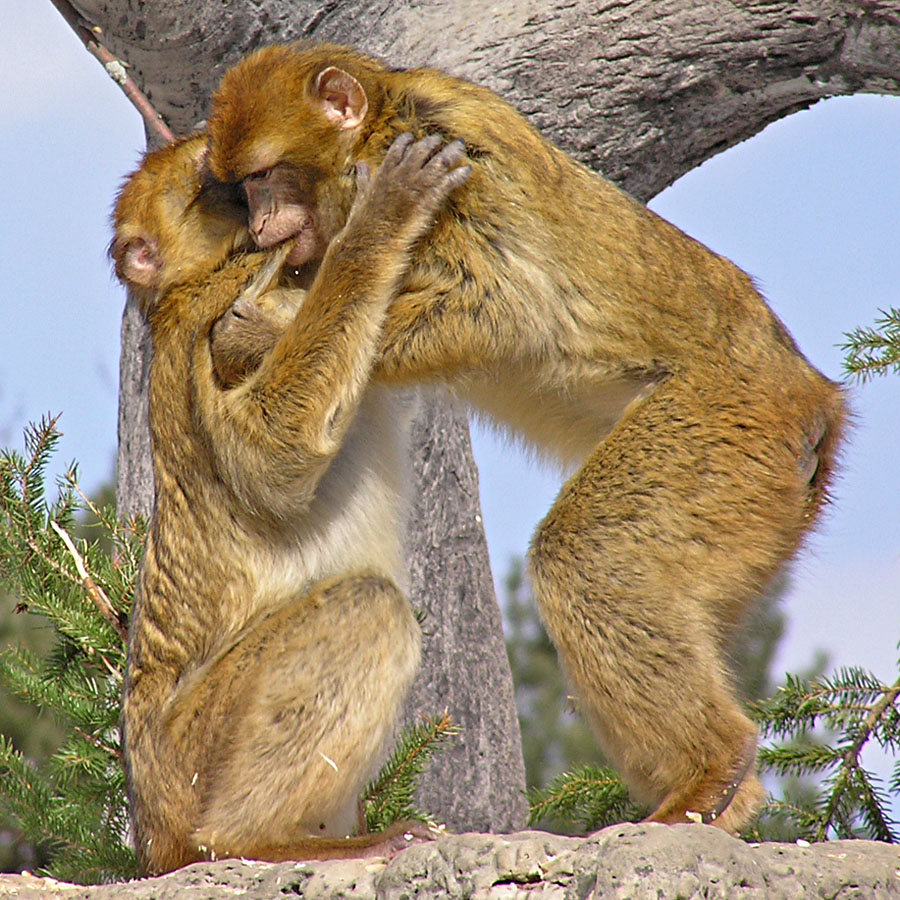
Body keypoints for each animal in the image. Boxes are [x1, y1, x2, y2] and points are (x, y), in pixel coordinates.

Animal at [112, 128, 472, 872]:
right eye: (208, 182)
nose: (255, 203)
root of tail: (154, 834)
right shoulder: (215, 310)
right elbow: (271, 455)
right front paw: (380, 219)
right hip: (193, 752)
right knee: (370, 608)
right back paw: (253, 839)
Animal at [207, 40, 848, 828]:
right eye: (244, 189)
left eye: (265, 178)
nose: (260, 228)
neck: (375, 130)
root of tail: (814, 400)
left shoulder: (453, 170)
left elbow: (501, 305)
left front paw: (259, 333)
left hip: (726, 429)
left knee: (588, 556)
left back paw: (711, 769)